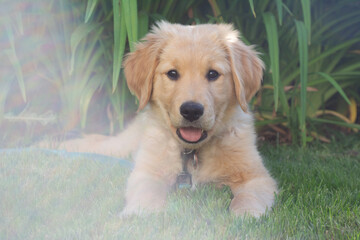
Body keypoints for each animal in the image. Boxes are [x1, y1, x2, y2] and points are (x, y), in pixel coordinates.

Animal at [58, 21, 278, 218]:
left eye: (213, 74)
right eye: (172, 73)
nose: (191, 110)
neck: (192, 152)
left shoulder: (256, 175)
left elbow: (249, 195)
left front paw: (246, 213)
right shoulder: (147, 170)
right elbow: (146, 190)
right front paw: (141, 212)